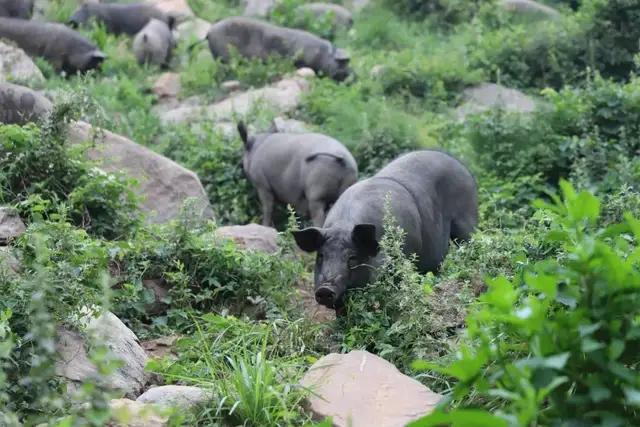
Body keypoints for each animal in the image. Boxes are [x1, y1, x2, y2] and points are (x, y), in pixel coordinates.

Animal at [292, 150, 478, 310]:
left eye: (352, 258)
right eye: (321, 256)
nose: (325, 289)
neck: (344, 225)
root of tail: (462, 167)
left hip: (466, 221)